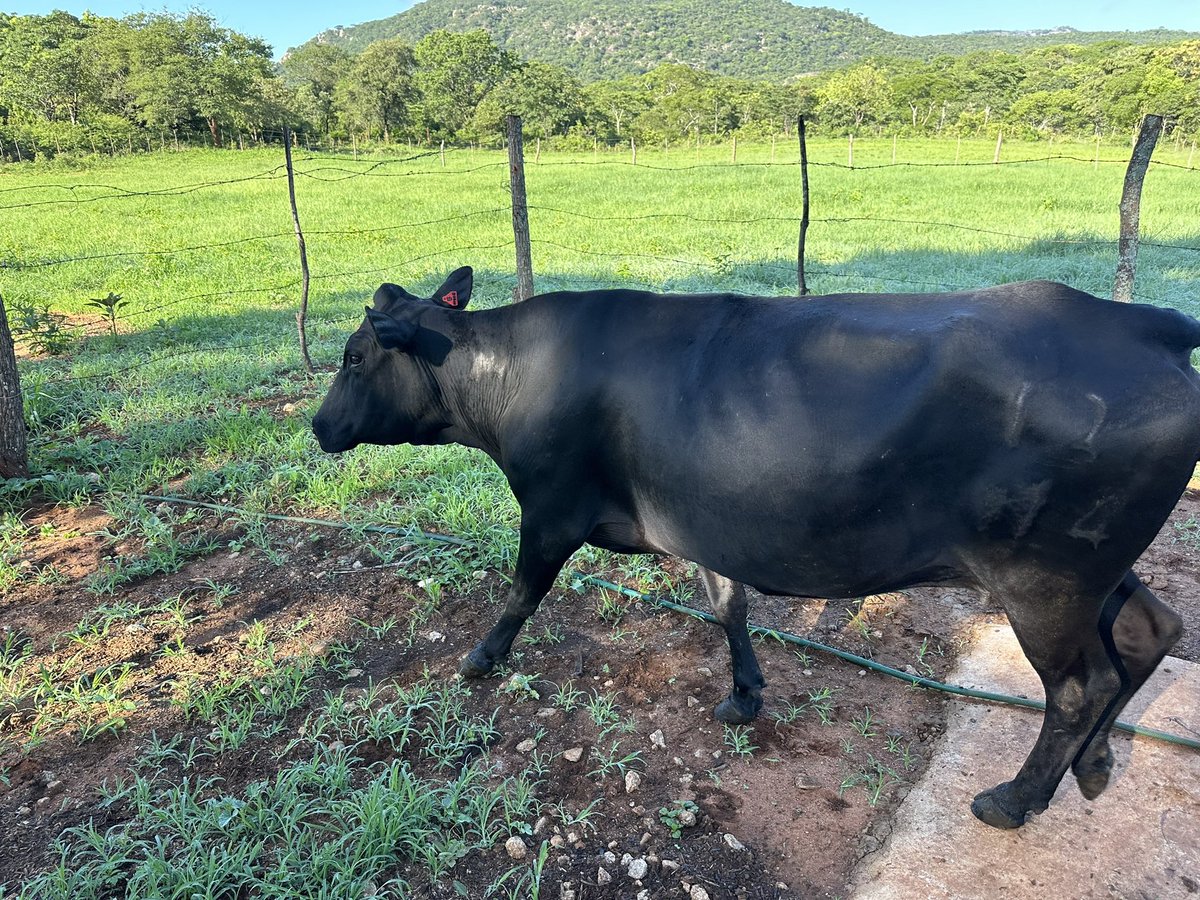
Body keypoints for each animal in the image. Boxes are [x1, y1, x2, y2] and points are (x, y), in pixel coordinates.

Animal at [312, 267, 1200, 829]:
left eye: (354, 357)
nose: (317, 426)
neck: (510, 377)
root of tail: (1141, 320)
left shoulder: (551, 509)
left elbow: (522, 591)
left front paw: (479, 659)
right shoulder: (702, 517)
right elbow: (727, 605)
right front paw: (744, 693)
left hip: (1046, 578)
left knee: (1081, 684)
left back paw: (1014, 800)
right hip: (1097, 567)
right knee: (1148, 632)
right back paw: (1092, 769)